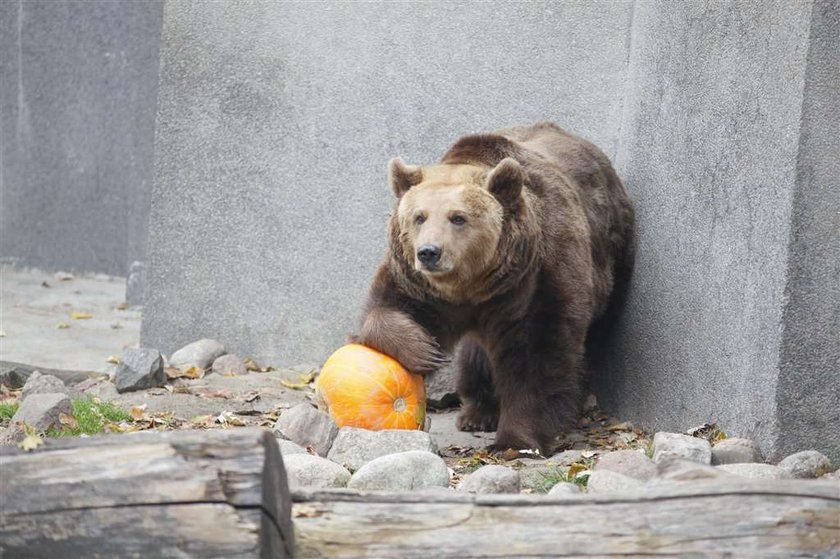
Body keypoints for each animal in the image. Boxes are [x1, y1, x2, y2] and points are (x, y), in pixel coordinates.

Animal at [352, 122, 632, 456]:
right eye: (419, 216)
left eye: (458, 217)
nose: (429, 252)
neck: (473, 284)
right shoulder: (419, 283)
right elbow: (389, 306)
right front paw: (424, 350)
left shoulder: (537, 277)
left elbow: (535, 356)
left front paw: (515, 439)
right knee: (476, 357)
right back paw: (477, 413)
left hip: (612, 258)